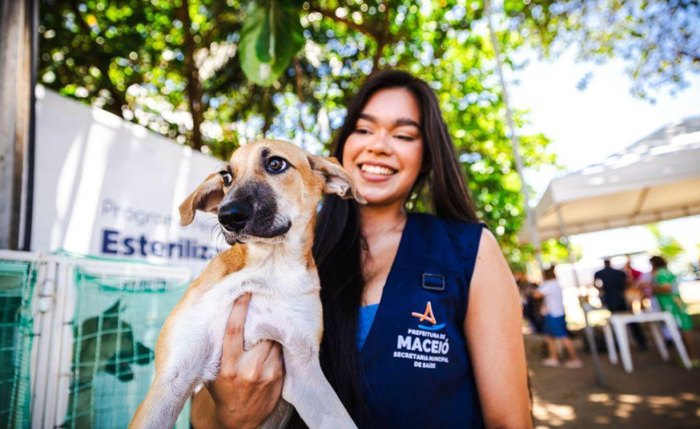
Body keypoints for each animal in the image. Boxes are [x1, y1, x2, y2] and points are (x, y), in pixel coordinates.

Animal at [129, 140, 364, 428]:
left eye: (276, 164)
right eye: (227, 177)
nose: (227, 216)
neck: (268, 269)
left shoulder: (304, 369)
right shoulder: (172, 377)